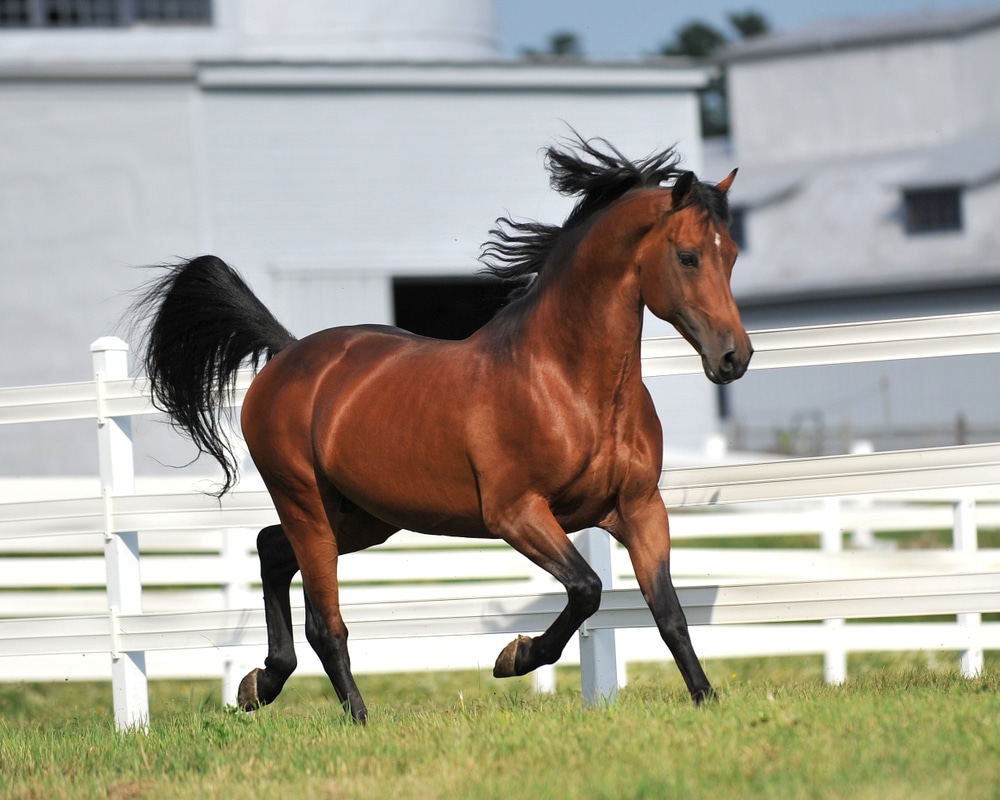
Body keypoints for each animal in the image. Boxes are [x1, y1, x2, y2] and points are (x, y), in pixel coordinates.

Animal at [131, 138, 752, 724]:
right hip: (305, 503)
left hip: (364, 518)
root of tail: (287, 354)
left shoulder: (640, 508)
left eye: (733, 255)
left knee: (270, 549)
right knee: (325, 622)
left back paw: (260, 683)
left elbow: (669, 613)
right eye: (688, 256)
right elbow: (587, 589)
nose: (734, 358)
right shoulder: (517, 514)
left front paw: (706, 699)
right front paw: (514, 657)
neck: (569, 383)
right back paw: (356, 718)